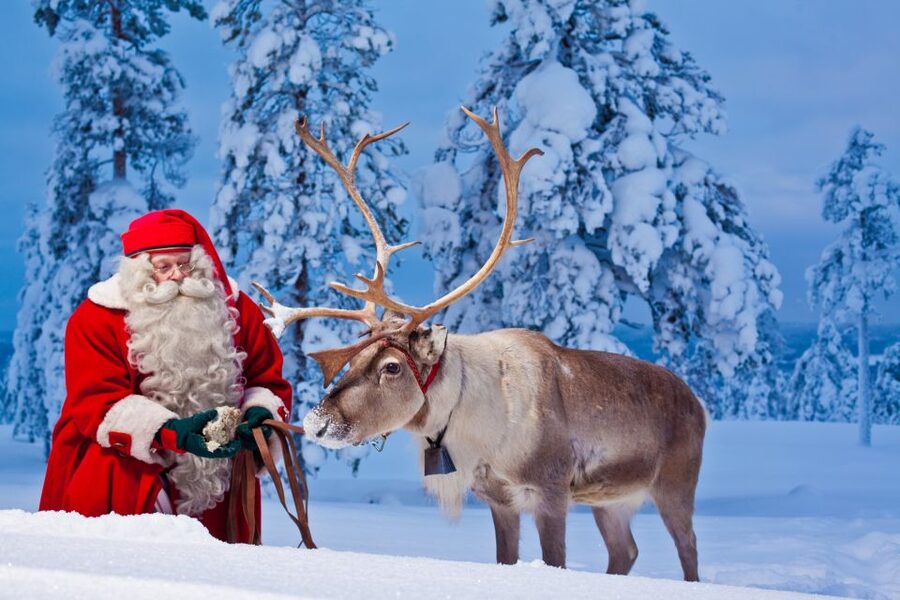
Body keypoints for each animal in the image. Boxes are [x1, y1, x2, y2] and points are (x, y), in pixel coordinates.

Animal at [253, 108, 707, 581]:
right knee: (627, 551)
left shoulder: (550, 490)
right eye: (354, 356)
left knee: (688, 548)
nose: (317, 422)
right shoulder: (498, 498)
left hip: (676, 483)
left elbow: (555, 559)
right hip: (611, 500)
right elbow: (505, 557)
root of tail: (699, 405)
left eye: (392, 366)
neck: (481, 428)